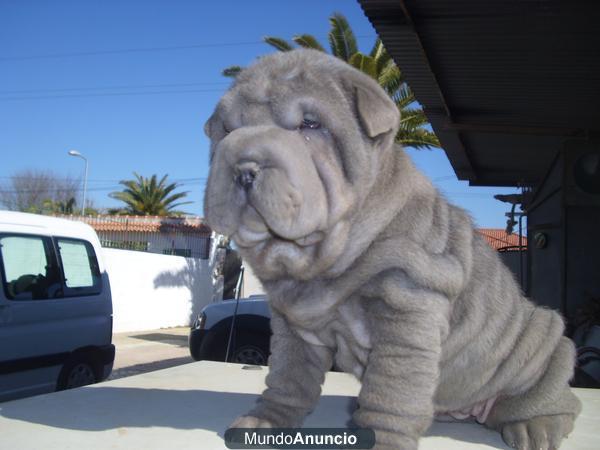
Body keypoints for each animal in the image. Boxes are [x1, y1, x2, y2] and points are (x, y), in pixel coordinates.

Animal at [203, 50, 580, 450]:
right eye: (227, 130)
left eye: (310, 124)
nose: (244, 167)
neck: (318, 263)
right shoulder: (294, 326)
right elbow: (287, 380)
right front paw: (265, 421)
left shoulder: (407, 311)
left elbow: (390, 394)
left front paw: (382, 439)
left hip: (546, 343)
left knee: (555, 400)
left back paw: (535, 428)